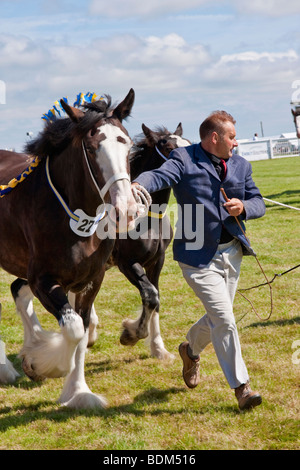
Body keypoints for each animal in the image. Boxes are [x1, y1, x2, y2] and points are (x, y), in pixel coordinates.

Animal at [0, 89, 138, 408]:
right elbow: (73, 329)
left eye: (128, 144)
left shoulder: (90, 280)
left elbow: (82, 332)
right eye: (91, 147)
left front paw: (78, 391)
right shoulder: (43, 280)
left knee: (17, 290)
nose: (126, 210)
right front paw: (42, 363)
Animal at [88, 122, 190, 360]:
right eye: (169, 148)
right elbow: (150, 295)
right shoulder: (127, 263)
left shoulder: (156, 262)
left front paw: (159, 349)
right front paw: (131, 333)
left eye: (189, 143)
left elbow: (156, 298)